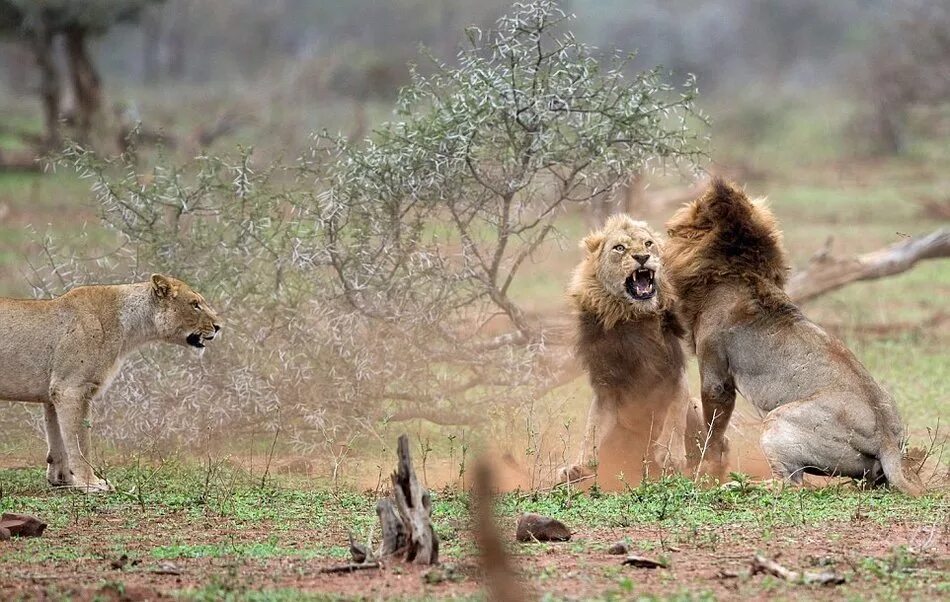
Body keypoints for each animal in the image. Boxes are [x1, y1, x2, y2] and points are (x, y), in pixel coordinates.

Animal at [0, 274, 221, 490]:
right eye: (195, 304)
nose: (219, 326)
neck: (131, 327)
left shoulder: (53, 394)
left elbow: (58, 440)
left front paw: (62, 480)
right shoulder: (70, 389)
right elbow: (80, 441)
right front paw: (90, 483)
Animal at [564, 213, 708, 486]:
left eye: (648, 244)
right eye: (619, 248)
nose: (642, 257)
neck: (634, 316)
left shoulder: (675, 372)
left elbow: (675, 415)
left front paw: (671, 456)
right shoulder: (606, 386)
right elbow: (592, 429)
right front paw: (579, 466)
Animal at [664, 177, 924, 492]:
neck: (738, 271)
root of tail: (887, 441)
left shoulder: (716, 372)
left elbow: (714, 428)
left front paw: (707, 470)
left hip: (777, 421)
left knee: (791, 484)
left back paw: (740, 486)